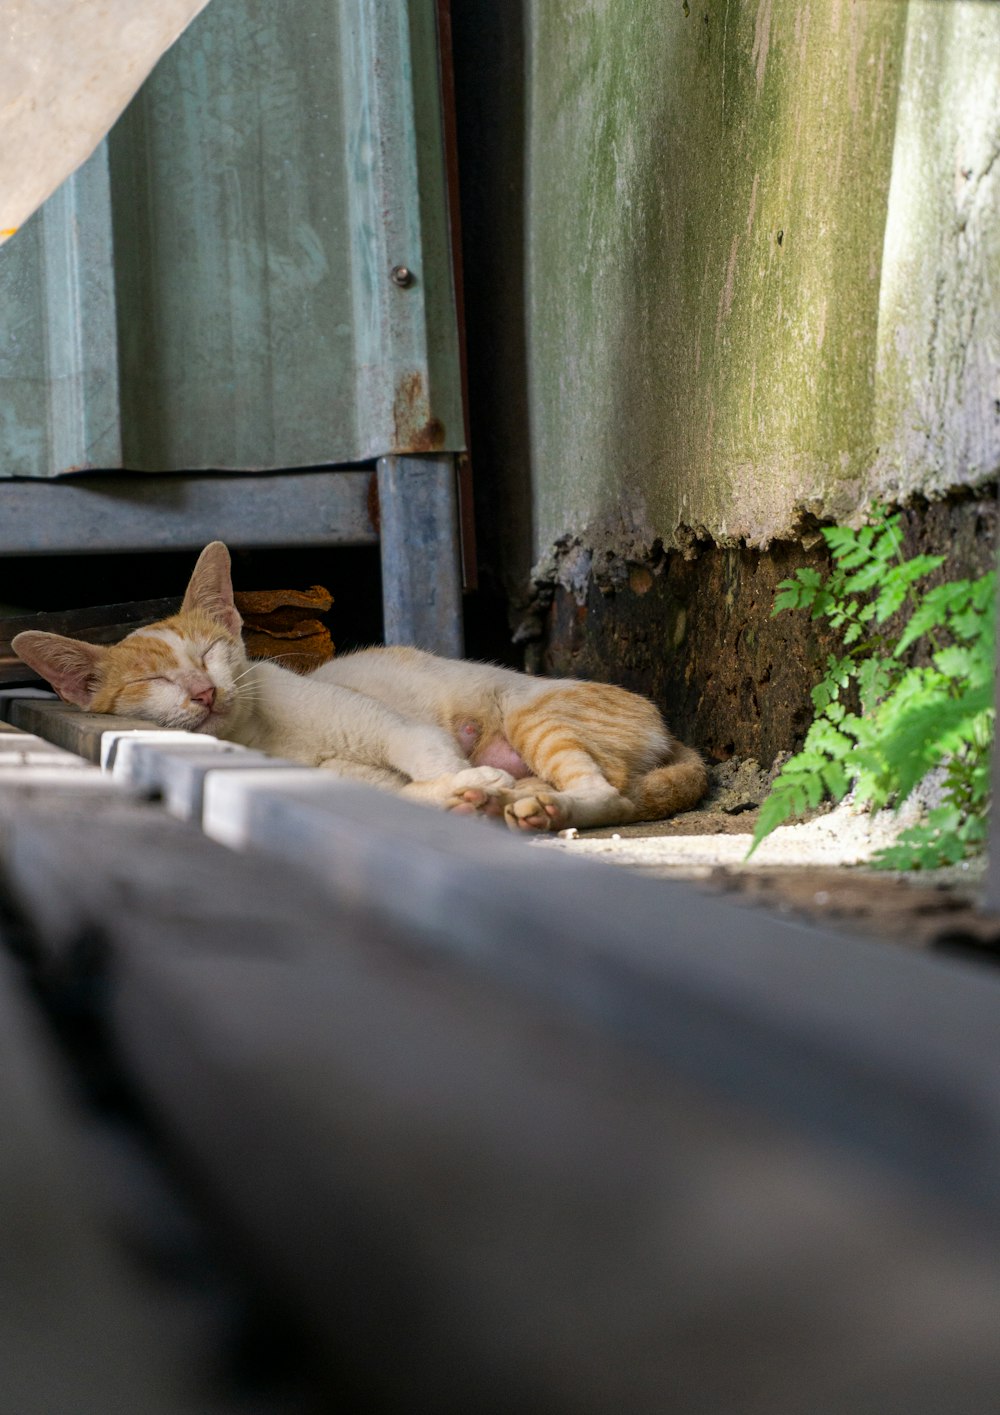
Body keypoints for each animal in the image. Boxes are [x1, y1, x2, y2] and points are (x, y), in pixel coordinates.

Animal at [11, 540, 707, 826]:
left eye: (210, 654)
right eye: (155, 679)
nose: (203, 693)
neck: (261, 740)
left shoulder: (391, 726)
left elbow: (424, 751)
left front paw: (471, 782)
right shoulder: (340, 778)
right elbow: (404, 792)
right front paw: (463, 793)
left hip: (537, 716)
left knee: (608, 794)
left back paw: (543, 806)